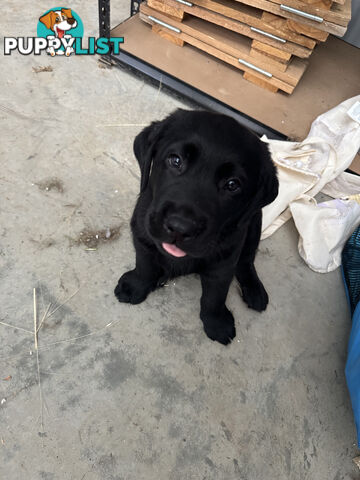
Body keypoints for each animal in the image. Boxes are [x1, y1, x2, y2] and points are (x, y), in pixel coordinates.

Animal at [114, 110, 278, 344]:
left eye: (232, 184)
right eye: (175, 160)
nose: (180, 227)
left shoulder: (223, 263)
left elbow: (215, 296)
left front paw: (217, 323)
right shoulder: (142, 236)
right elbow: (144, 265)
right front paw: (135, 286)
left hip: (254, 224)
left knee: (247, 261)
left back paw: (254, 290)